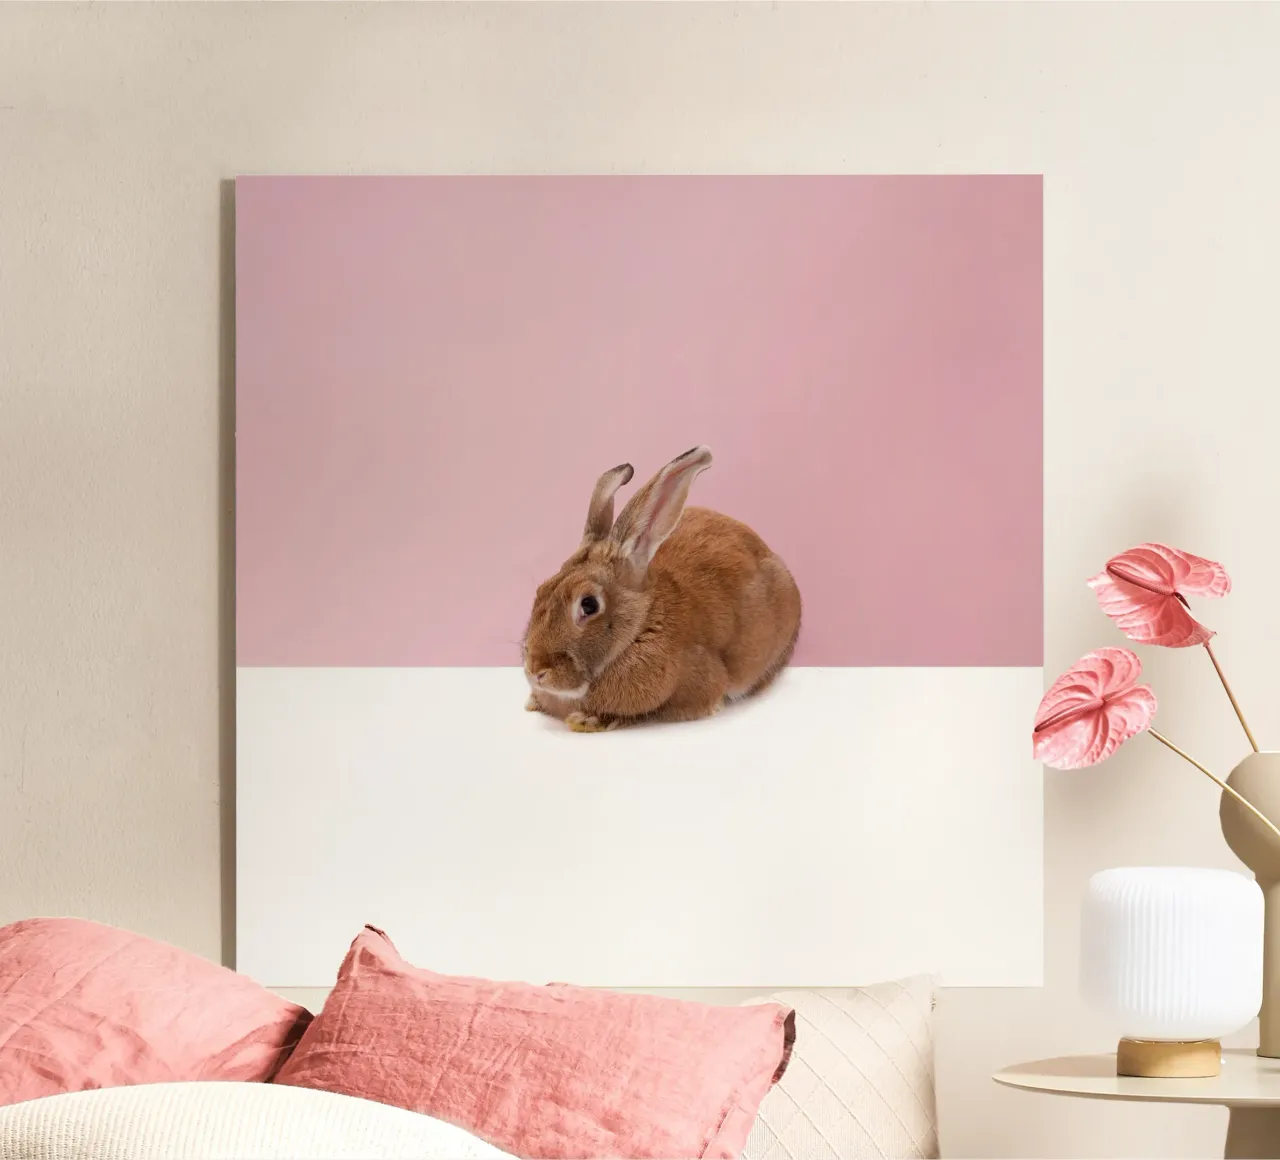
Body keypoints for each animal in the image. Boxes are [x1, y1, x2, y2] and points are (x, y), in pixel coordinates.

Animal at [521, 445, 802, 733]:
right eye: (541, 591)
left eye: (589, 604)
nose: (536, 670)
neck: (639, 627)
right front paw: (534, 703)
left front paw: (587, 720)